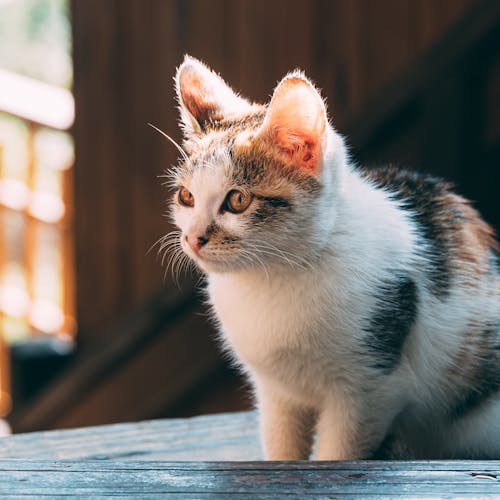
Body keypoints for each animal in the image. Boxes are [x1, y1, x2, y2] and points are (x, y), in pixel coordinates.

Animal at [167, 55, 500, 460]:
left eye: (238, 200)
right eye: (186, 197)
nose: (192, 238)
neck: (273, 276)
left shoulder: (370, 388)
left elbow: (338, 455)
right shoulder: (276, 392)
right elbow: (281, 445)